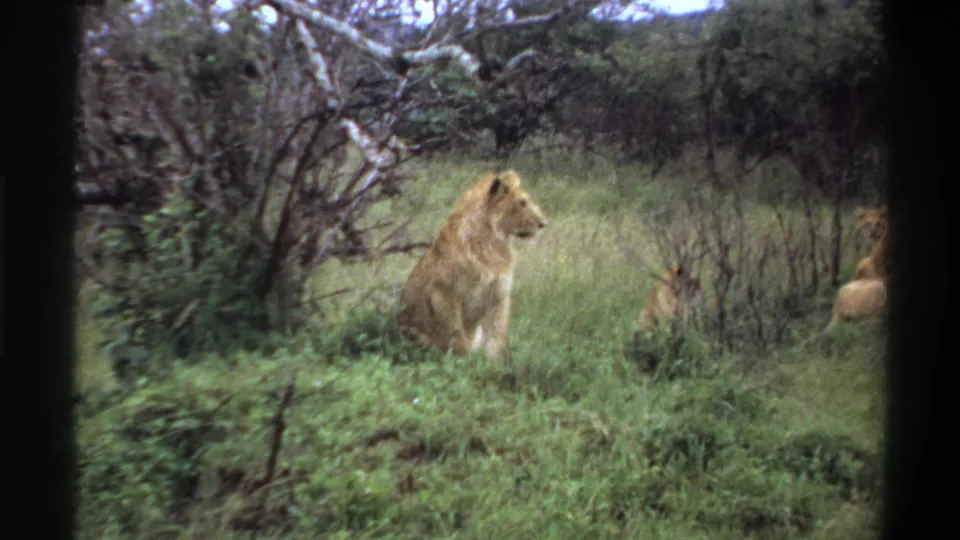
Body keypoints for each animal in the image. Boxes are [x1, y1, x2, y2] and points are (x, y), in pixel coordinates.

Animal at [396, 169, 548, 362]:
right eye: (522, 203)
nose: (544, 223)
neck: (492, 243)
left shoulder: (499, 295)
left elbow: (496, 338)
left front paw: (493, 365)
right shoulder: (443, 294)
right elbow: (457, 336)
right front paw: (464, 363)